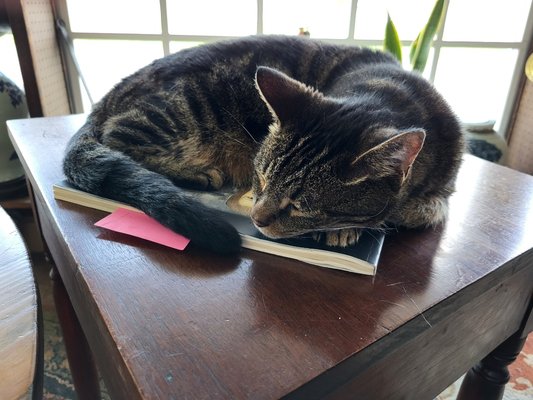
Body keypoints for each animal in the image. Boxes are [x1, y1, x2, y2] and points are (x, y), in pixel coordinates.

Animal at [62, 34, 462, 253]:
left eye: (302, 206)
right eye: (263, 179)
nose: (255, 217)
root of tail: (110, 95)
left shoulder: (440, 192)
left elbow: (419, 209)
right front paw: (350, 228)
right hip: (181, 112)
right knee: (118, 138)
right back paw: (199, 173)